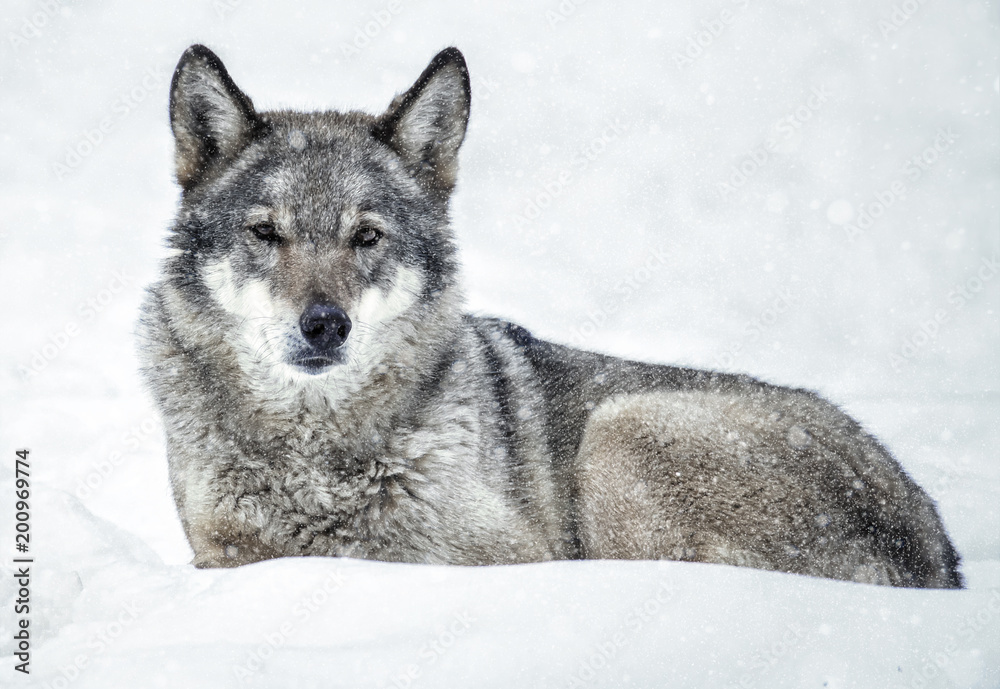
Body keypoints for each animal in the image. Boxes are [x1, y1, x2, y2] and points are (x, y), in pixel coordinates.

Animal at [138, 44, 962, 588]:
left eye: (366, 236)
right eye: (265, 232)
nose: (324, 324)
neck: (314, 456)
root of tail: (942, 560)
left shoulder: (501, 551)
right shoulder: (220, 549)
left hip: (621, 430)